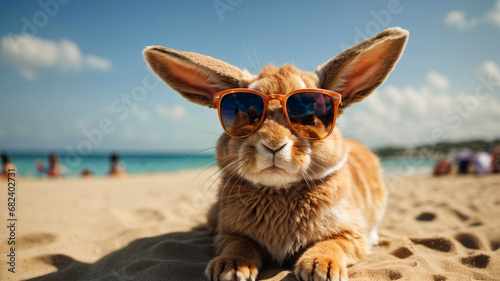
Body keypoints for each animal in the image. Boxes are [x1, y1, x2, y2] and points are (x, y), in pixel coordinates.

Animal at [143, 26, 408, 280]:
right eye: (247, 115)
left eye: (310, 117)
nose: (273, 145)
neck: (279, 191)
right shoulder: (229, 234)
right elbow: (239, 243)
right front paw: (230, 267)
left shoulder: (352, 235)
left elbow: (333, 243)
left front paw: (320, 267)